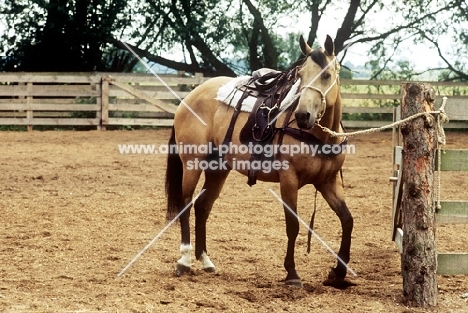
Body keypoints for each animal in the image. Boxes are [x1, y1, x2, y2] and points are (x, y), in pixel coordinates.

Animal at [166, 35, 352, 286]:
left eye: (326, 75)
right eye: (301, 75)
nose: (302, 115)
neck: (320, 136)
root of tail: (190, 97)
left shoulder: (328, 182)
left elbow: (347, 220)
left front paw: (338, 272)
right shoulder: (289, 180)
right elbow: (292, 225)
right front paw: (292, 273)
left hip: (218, 168)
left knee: (202, 206)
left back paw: (205, 260)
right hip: (192, 163)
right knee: (185, 204)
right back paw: (184, 260)